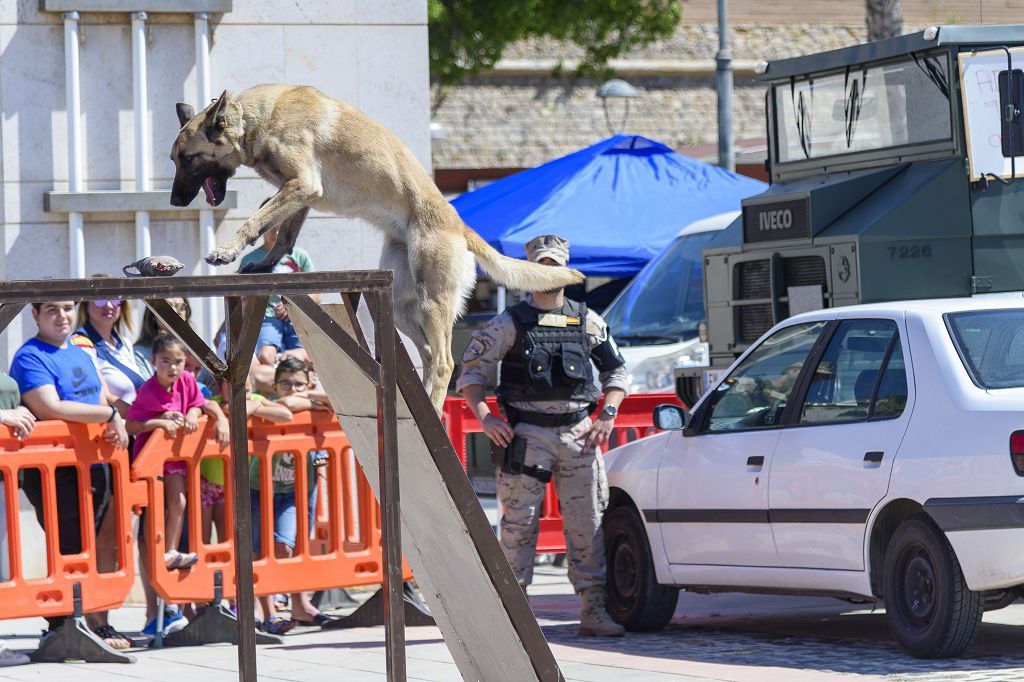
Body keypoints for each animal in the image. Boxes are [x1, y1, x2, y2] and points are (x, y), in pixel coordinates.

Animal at [169, 82, 585, 405]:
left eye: (188, 159)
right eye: (174, 159)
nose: (173, 202)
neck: (255, 118)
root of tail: (460, 226)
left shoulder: (302, 185)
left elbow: (257, 220)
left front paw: (227, 250)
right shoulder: (301, 197)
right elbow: (284, 234)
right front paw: (265, 264)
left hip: (433, 301)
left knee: (445, 362)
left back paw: (435, 409)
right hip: (401, 305)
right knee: (428, 355)